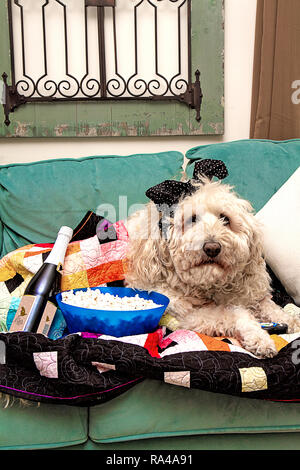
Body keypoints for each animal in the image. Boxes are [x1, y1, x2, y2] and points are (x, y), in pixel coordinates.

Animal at [123, 174, 300, 358]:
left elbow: (270, 306)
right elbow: (234, 314)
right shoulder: (192, 315)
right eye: (192, 219)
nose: (212, 247)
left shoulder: (251, 294)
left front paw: (290, 320)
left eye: (225, 219)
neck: (210, 284)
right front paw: (259, 337)